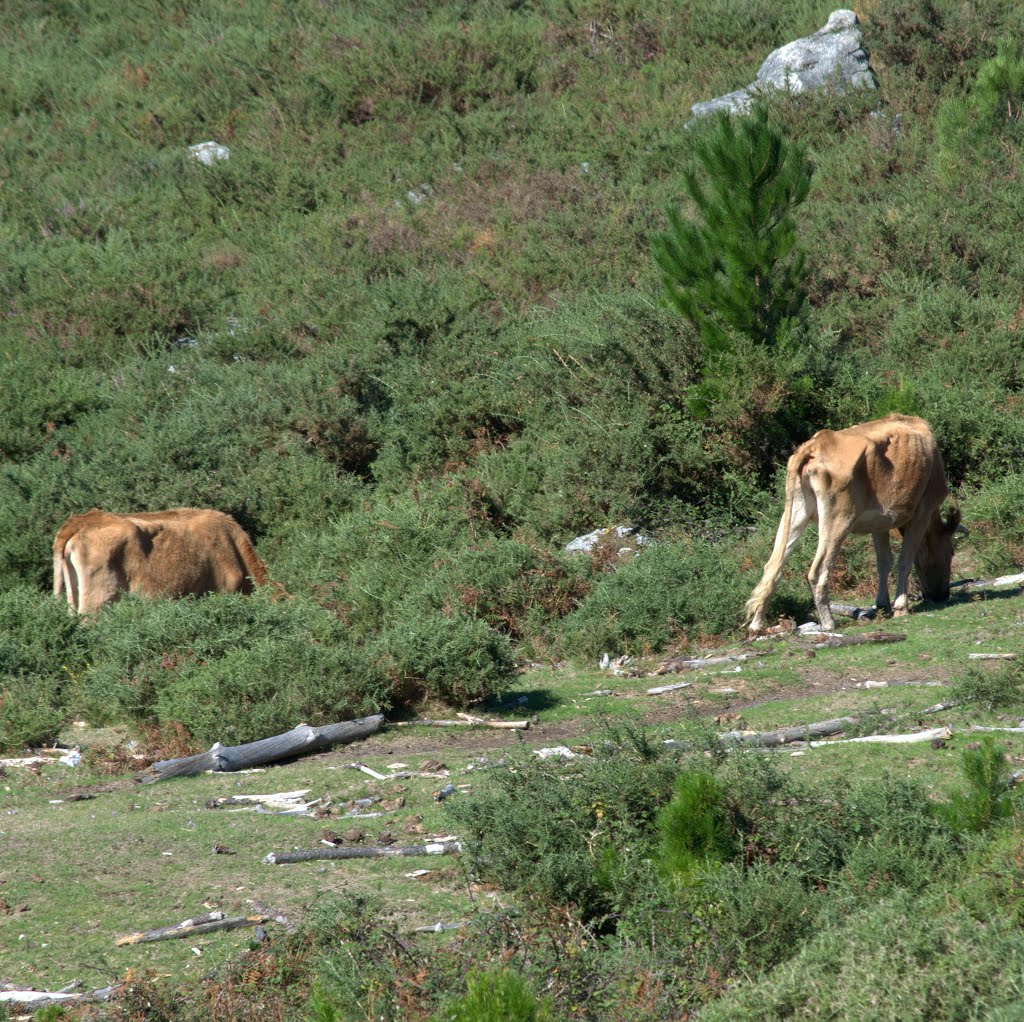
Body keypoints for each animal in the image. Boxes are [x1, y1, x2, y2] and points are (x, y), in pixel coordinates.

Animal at [745, 413, 958, 634]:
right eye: (951, 553)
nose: (942, 595)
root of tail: (814, 446)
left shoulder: (880, 523)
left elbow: (884, 561)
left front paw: (883, 604)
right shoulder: (923, 512)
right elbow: (905, 560)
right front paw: (900, 607)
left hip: (794, 513)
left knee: (773, 567)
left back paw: (756, 625)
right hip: (838, 520)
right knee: (817, 571)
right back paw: (828, 622)